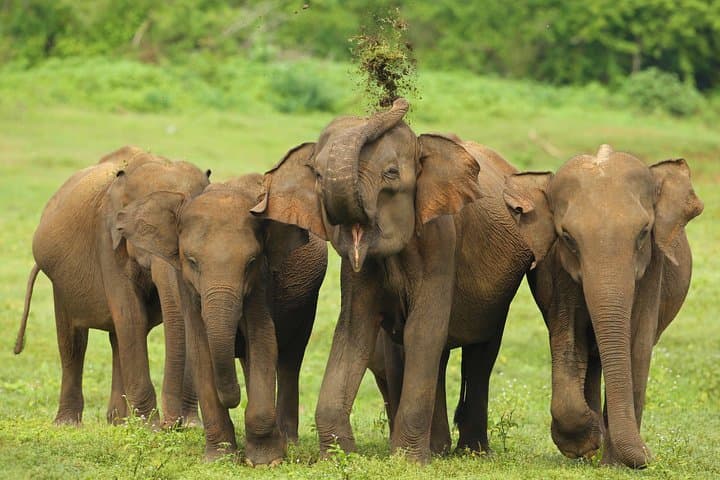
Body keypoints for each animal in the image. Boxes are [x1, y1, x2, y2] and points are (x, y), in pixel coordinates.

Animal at [14, 146, 208, 426]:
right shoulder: (107, 239)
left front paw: (190, 426)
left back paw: (118, 422)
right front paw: (151, 427)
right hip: (60, 282)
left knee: (118, 338)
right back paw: (69, 424)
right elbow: (131, 315)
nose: (173, 425)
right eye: (142, 230)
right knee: (74, 341)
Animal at [114, 173, 328, 465]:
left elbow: (263, 340)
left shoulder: (261, 282)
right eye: (192, 261)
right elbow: (201, 350)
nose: (233, 399)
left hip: (307, 301)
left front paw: (265, 462)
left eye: (251, 262)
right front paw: (220, 458)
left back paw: (287, 443)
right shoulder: (187, 286)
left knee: (289, 359)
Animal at [250, 98, 534, 462]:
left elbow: (423, 330)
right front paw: (341, 456)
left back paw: (471, 452)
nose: (394, 100)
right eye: (317, 175)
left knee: (479, 355)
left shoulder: (441, 241)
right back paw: (438, 448)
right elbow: (354, 331)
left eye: (391, 174)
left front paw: (408, 461)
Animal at [503, 144, 703, 468]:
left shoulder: (653, 271)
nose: (650, 455)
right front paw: (585, 441)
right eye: (568, 237)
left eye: (644, 232)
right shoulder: (558, 270)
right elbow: (569, 340)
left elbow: (637, 348)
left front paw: (616, 463)